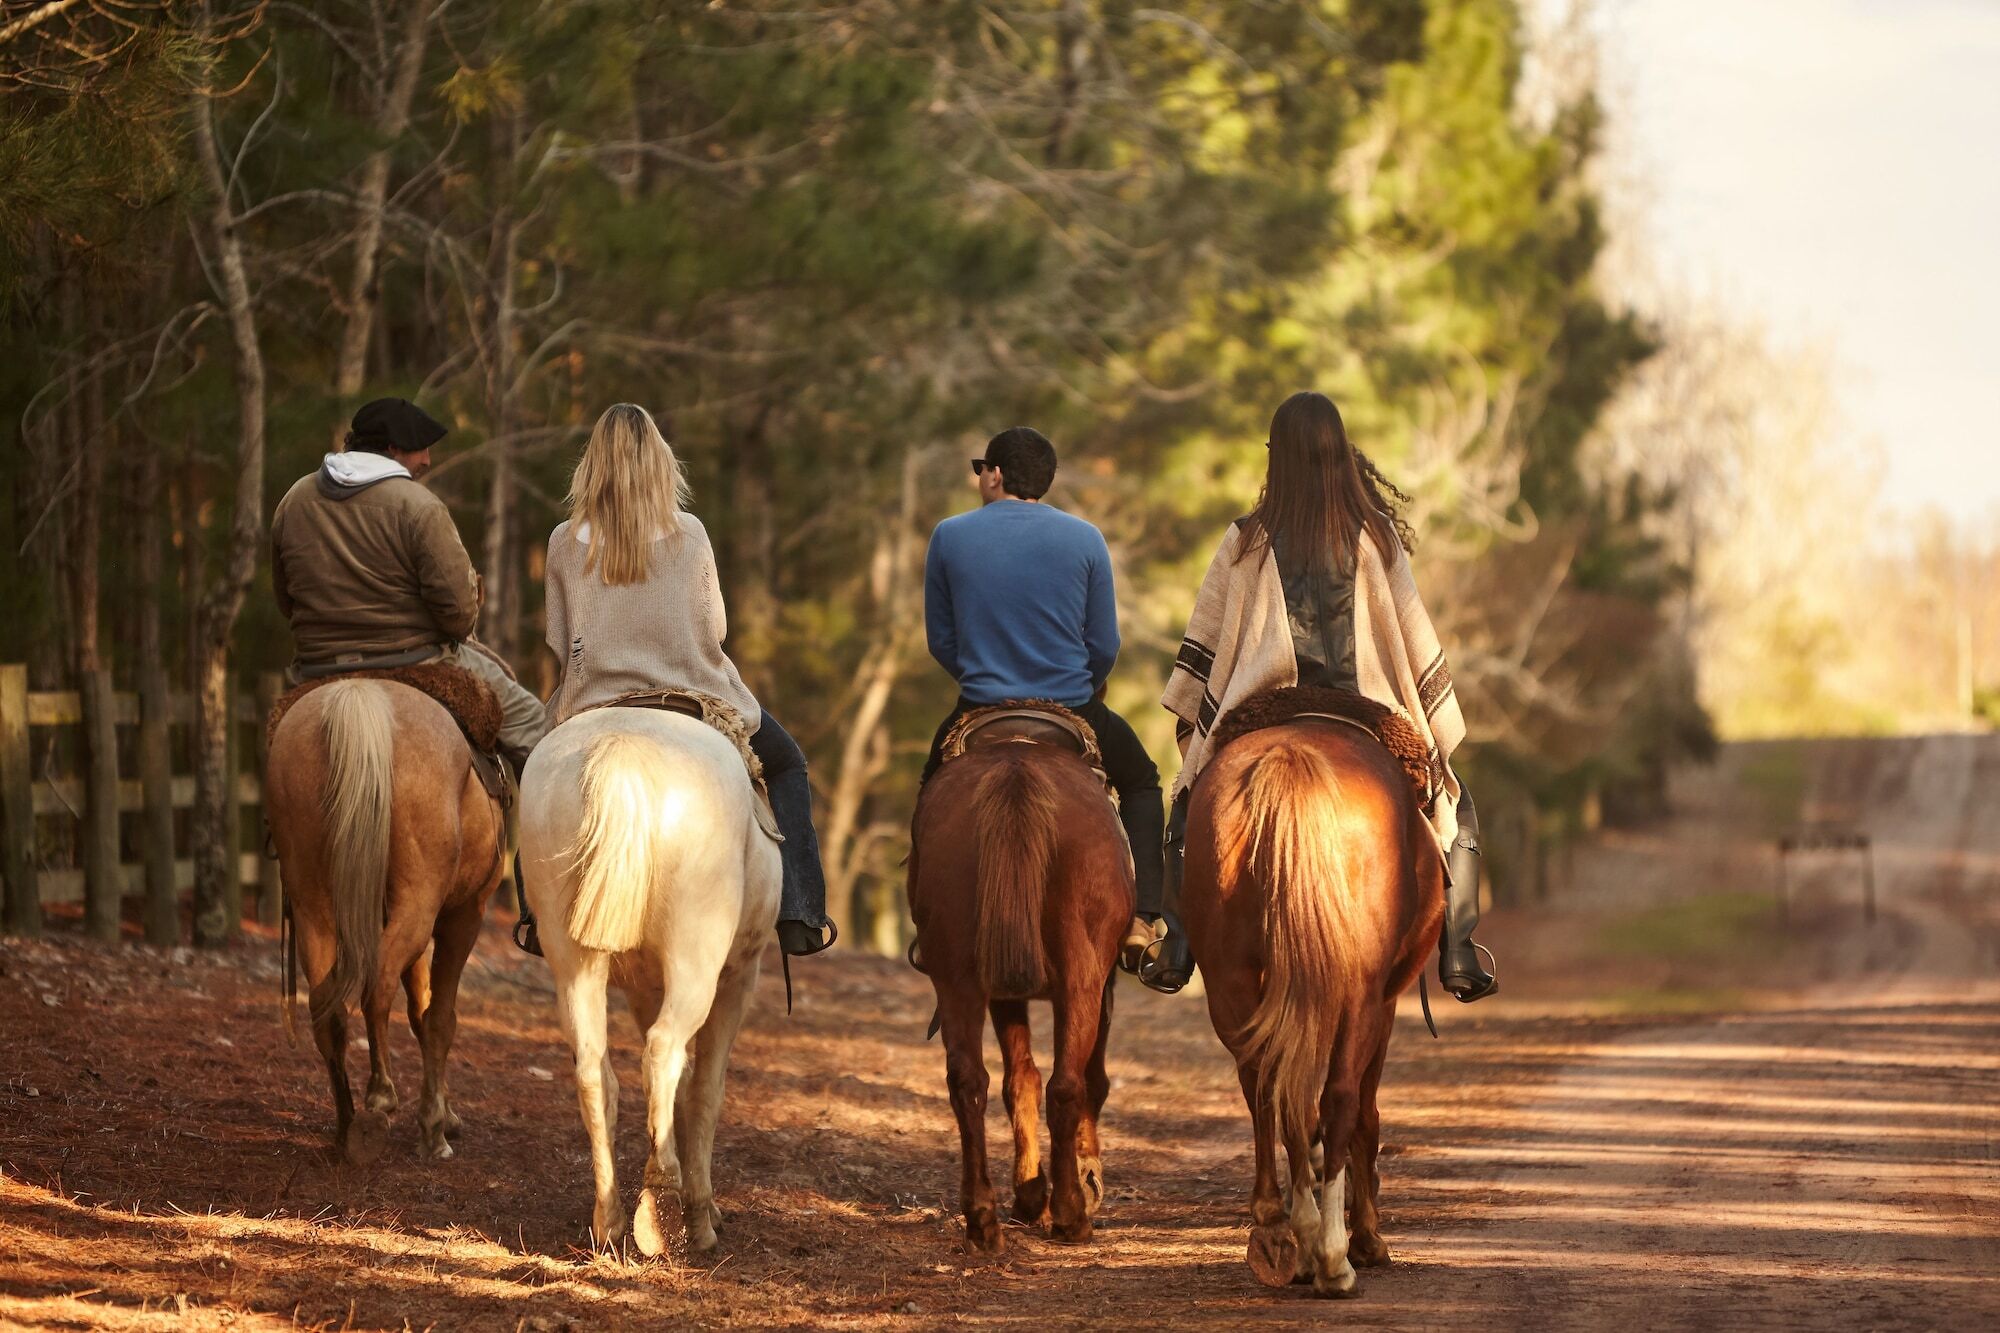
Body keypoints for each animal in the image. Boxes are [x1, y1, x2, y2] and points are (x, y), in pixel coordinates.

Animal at [266, 680, 508, 1160]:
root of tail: (357, 696)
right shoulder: (462, 917)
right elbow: (438, 1017)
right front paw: (435, 1128)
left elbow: (419, 1007)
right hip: (420, 907)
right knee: (377, 986)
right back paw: (381, 1096)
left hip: (313, 907)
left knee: (328, 1008)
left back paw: (348, 1127)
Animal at [516, 700, 780, 1248]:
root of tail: (620, 751)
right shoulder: (738, 980)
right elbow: (704, 1091)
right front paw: (704, 1208)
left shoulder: (642, 989)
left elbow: (680, 1086)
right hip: (697, 961)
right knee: (662, 1051)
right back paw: (669, 1211)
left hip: (573, 963)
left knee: (596, 1071)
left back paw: (611, 1220)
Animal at [912, 720, 1136, 1248]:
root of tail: (1016, 768)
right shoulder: (1103, 984)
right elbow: (1088, 1079)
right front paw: (1083, 1180)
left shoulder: (1003, 994)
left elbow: (1020, 1080)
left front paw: (1030, 1193)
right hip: (1081, 978)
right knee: (1067, 1085)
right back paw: (1072, 1213)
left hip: (957, 977)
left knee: (969, 1080)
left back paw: (982, 1218)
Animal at [1176, 716, 1448, 1288]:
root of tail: (1289, 757)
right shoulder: (1383, 1004)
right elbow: (1365, 1113)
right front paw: (1367, 1237)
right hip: (1361, 993)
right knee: (1339, 1097)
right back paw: (1331, 1252)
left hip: (1231, 981)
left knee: (1268, 1086)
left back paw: (1280, 1227)